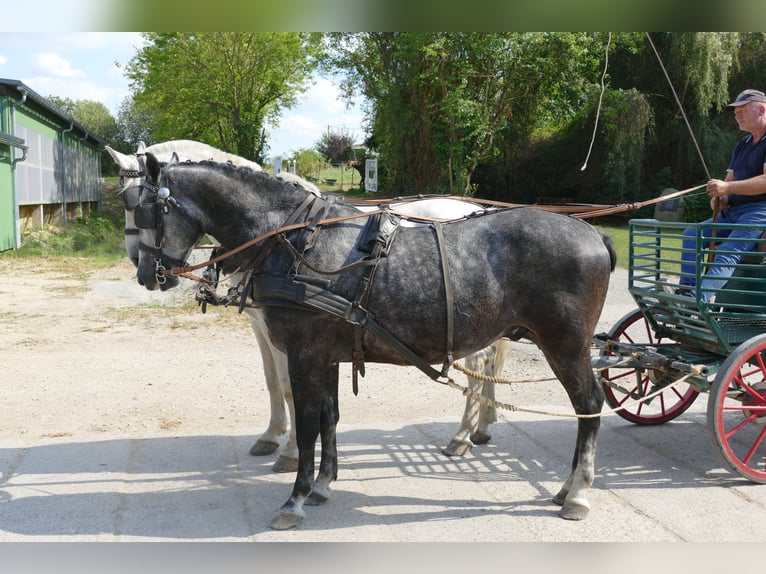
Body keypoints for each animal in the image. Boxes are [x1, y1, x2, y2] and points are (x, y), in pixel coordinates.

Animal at [103, 141, 510, 472]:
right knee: (490, 359)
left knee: (478, 362)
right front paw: (272, 435)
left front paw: (292, 451)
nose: (143, 270)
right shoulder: (261, 323)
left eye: (138, 207)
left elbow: (288, 385)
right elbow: (272, 381)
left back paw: (462, 436)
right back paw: (482, 426)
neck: (278, 231)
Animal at [136, 154, 616, 532]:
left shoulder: (304, 355)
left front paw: (295, 497)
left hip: (565, 345)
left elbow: (307, 426)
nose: (145, 274)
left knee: (589, 405)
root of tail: (592, 233)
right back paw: (559, 482)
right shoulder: (326, 356)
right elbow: (329, 418)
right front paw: (323, 484)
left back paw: (577, 492)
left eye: (142, 212)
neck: (293, 237)